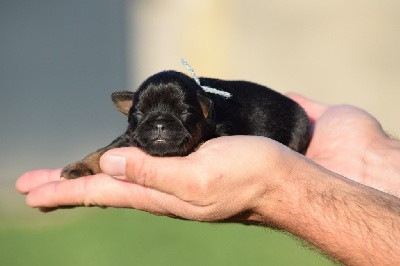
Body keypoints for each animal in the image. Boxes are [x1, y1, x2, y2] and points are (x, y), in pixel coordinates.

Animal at [61, 70, 310, 179]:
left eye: (185, 113)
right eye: (139, 113)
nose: (160, 123)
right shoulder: (129, 136)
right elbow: (104, 150)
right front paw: (80, 166)